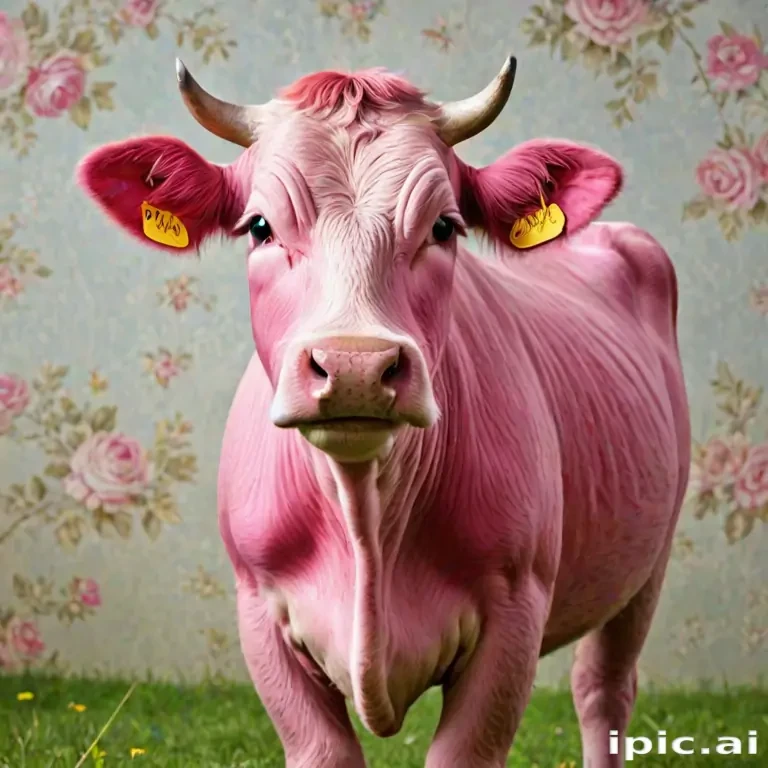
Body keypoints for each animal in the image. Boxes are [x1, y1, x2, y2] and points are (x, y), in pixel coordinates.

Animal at [76, 56, 691, 768]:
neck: (365, 521)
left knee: (603, 689)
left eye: (444, 226)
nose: (354, 367)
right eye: (259, 227)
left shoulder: (515, 609)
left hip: (649, 561)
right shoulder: (258, 609)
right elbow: (324, 750)